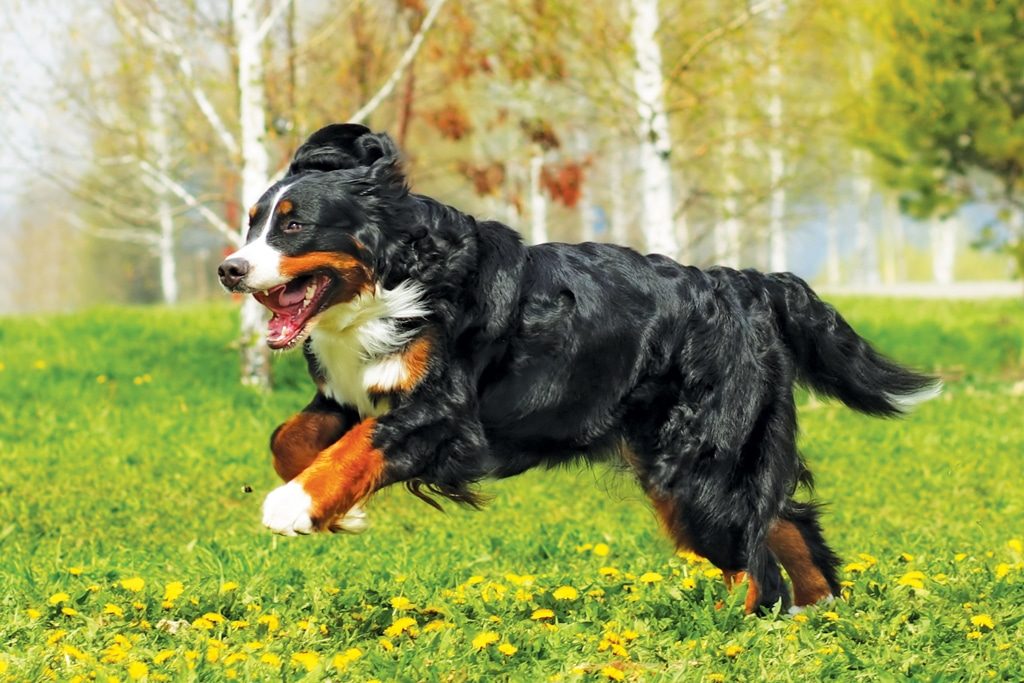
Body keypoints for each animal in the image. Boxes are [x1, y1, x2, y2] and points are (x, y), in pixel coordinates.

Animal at [220, 122, 937, 614]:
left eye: (294, 226)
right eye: (253, 223)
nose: (230, 268)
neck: (396, 278)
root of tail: (747, 282)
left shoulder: (442, 410)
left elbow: (358, 446)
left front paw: (295, 505)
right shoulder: (353, 392)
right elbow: (290, 437)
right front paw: (339, 514)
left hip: (695, 465)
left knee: (755, 564)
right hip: (710, 457)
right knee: (784, 524)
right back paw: (819, 613)